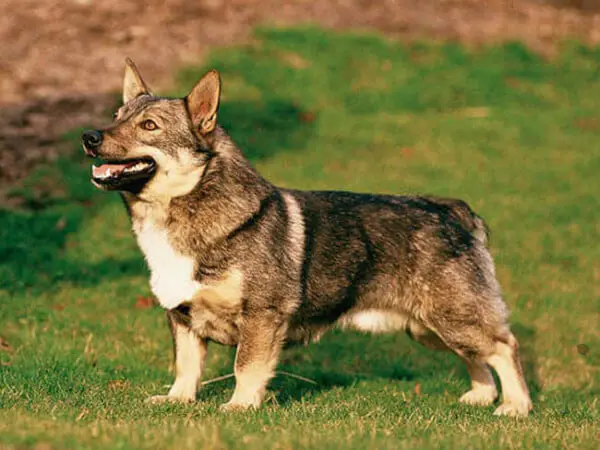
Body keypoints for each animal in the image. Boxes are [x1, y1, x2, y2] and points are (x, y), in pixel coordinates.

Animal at [81, 58, 536, 416]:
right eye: (116, 116)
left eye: (149, 126)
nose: (89, 136)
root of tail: (452, 212)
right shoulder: (182, 318)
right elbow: (186, 367)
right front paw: (178, 400)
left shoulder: (261, 317)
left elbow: (246, 367)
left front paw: (240, 407)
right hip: (430, 328)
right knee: (479, 358)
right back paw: (481, 397)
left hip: (452, 319)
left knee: (505, 347)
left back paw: (516, 406)